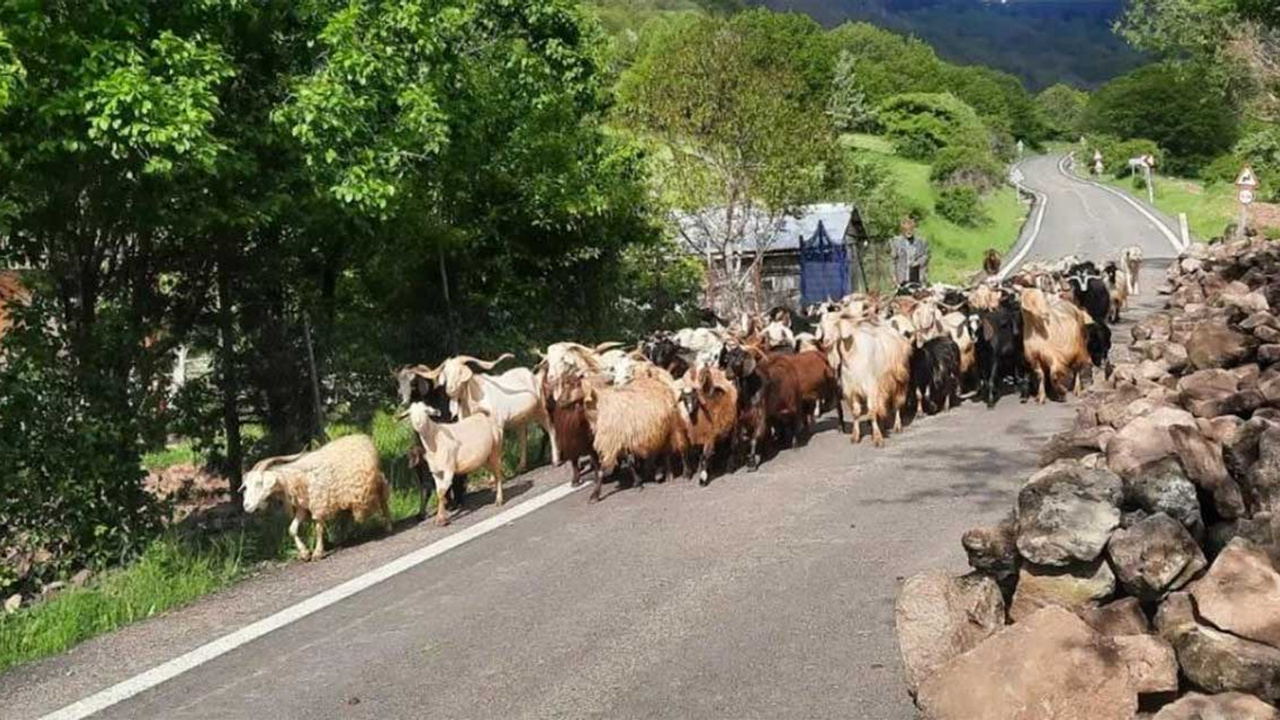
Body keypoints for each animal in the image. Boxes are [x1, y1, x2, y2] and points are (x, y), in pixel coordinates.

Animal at [240, 430, 389, 561]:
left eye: (259, 483)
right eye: (246, 486)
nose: (246, 506)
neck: (293, 480)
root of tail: (362, 437)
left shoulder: (319, 503)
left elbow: (318, 528)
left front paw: (317, 553)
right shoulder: (302, 507)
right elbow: (292, 529)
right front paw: (304, 553)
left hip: (377, 482)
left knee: (383, 501)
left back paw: (388, 526)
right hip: (346, 495)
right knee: (347, 515)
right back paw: (343, 537)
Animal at [422, 351, 558, 471]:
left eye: (460, 372)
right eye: (446, 373)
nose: (450, 390)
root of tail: (534, 376)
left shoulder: (498, 425)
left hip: (540, 409)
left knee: (550, 429)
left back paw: (555, 460)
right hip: (520, 418)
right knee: (522, 437)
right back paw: (521, 467)